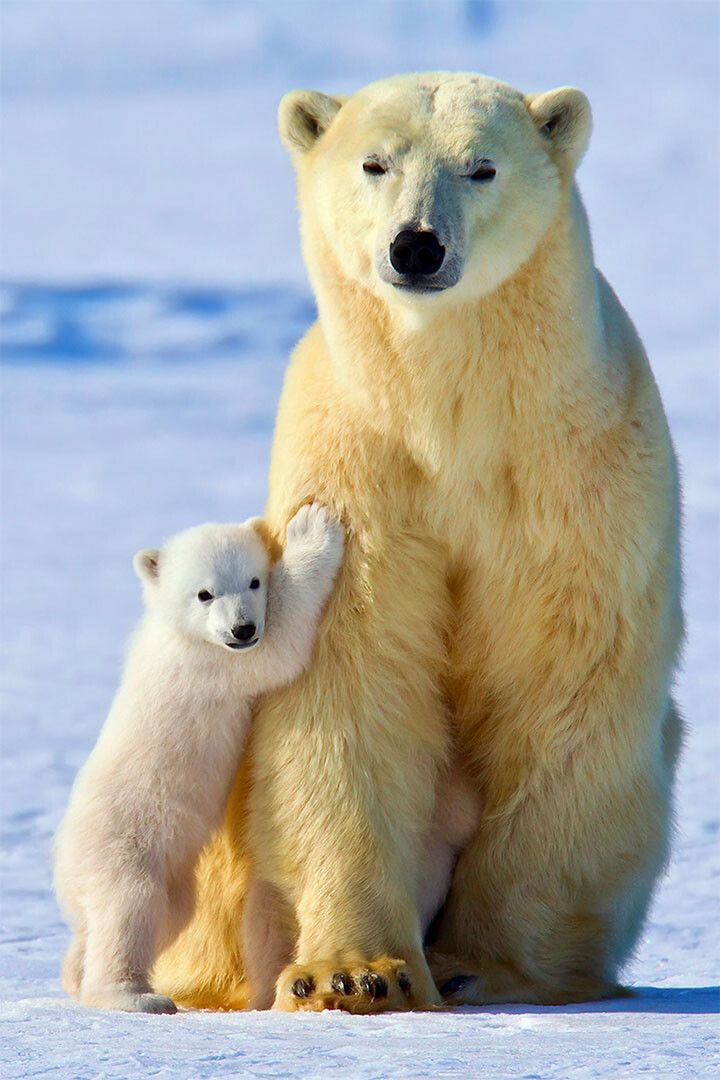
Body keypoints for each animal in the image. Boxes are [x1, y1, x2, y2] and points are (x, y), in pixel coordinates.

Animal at [54, 504, 345, 1012]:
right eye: (205, 593)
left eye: (253, 581)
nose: (242, 628)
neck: (177, 633)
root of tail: (62, 865)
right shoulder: (211, 666)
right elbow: (279, 646)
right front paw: (311, 529)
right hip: (124, 844)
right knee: (128, 908)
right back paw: (135, 996)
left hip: (171, 879)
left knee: (156, 917)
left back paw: (76, 972)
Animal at [153, 71, 683, 1012]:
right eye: (376, 162)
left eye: (482, 166)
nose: (417, 247)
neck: (452, 413)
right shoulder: (359, 469)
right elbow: (351, 683)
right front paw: (358, 972)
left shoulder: (575, 476)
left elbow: (563, 682)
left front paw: (486, 964)